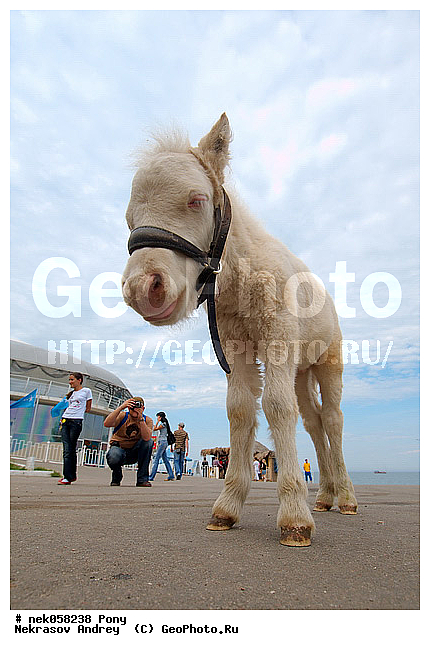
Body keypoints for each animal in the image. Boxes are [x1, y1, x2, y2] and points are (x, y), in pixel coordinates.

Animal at [121, 113, 357, 546]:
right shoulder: (236, 347)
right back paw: (325, 497)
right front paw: (227, 508)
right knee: (313, 421)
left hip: (327, 361)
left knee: (332, 419)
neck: (241, 278)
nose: (144, 288)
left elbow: (277, 407)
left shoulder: (277, 337)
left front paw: (294, 519)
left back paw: (346, 498)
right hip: (301, 371)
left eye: (196, 200)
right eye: (129, 219)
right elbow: (241, 410)